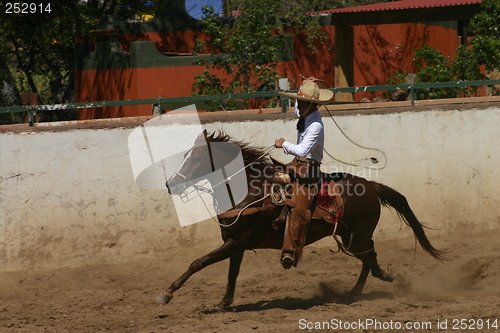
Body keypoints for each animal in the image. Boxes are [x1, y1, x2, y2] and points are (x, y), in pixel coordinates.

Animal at [155, 130, 442, 308]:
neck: (249, 192)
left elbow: (198, 262)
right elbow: (231, 273)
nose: (170, 185)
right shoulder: (235, 243)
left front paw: (167, 293)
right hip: (351, 236)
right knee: (368, 258)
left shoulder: (238, 242)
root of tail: (371, 185)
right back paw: (358, 290)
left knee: (370, 257)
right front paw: (224, 302)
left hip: (356, 237)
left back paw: (370, 285)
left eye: (195, 156)